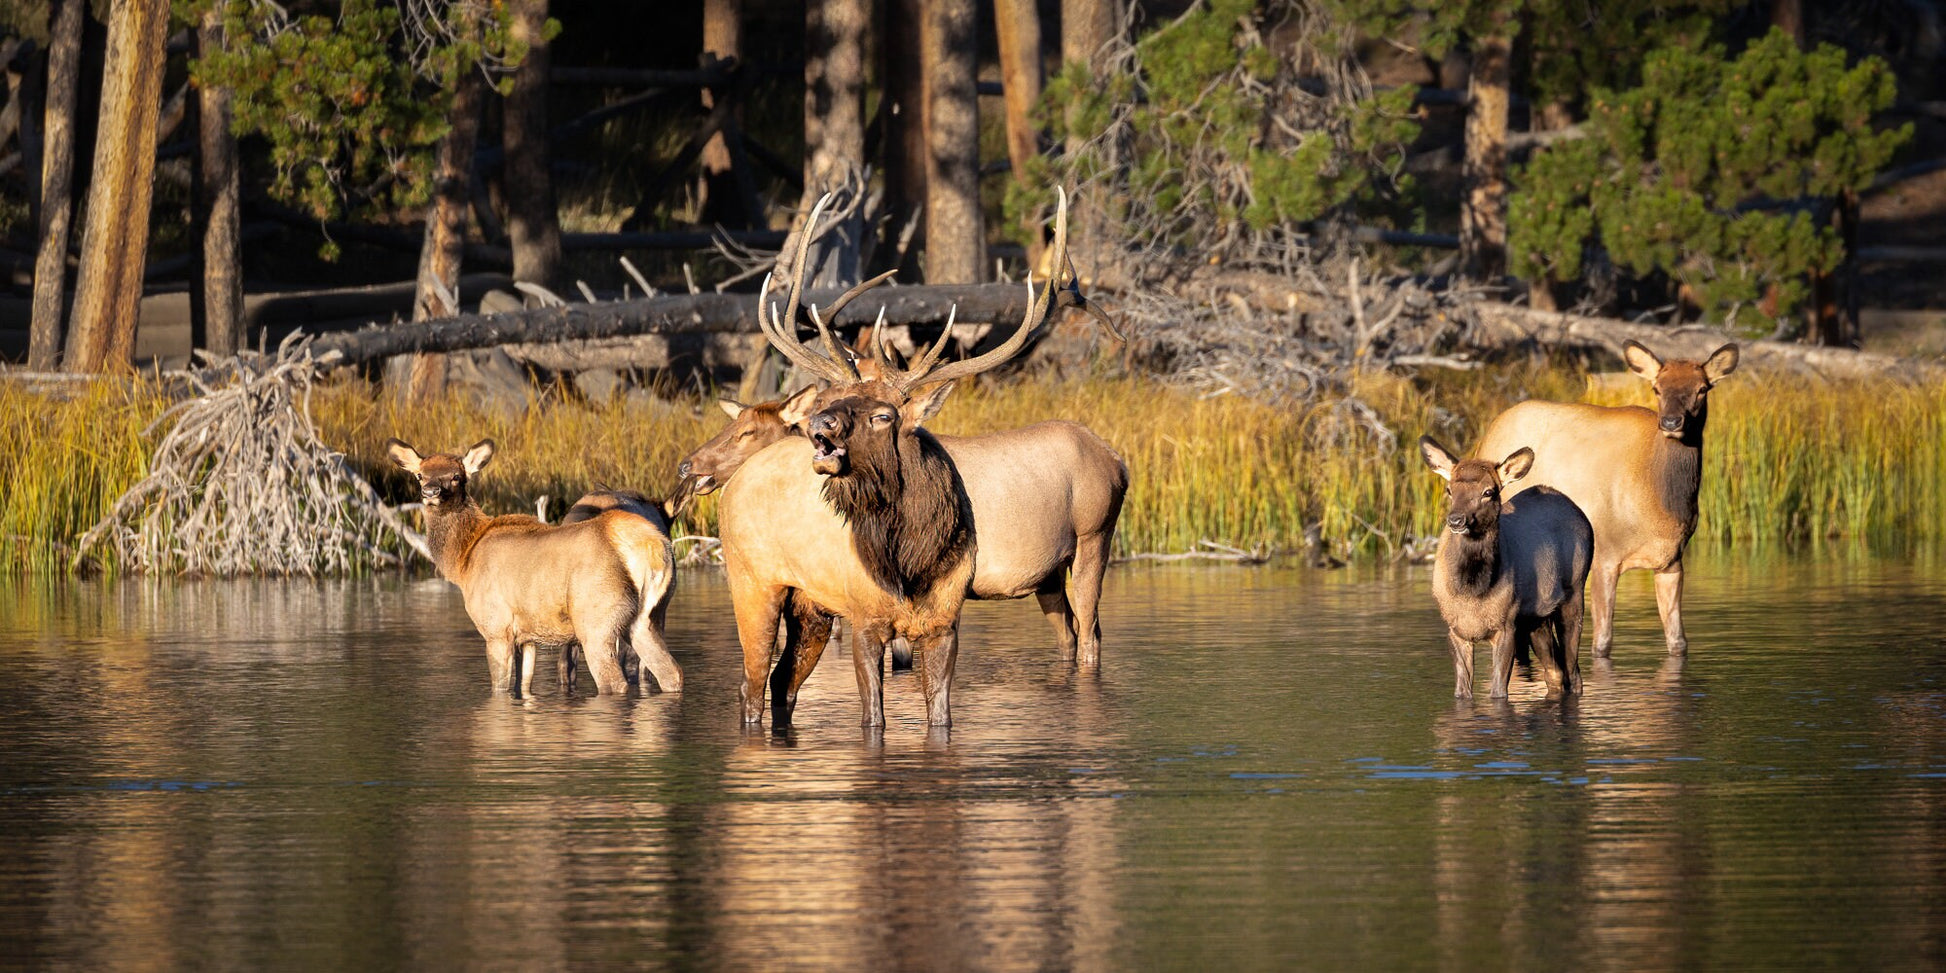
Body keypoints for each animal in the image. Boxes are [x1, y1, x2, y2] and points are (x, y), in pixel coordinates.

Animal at [383, 437, 681, 696]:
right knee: (672, 673)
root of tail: (651, 546)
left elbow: (500, 688)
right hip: (649, 617)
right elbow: (522, 686)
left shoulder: (496, 627)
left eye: (456, 476)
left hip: (597, 620)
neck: (463, 560)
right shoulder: (526, 637)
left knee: (615, 681)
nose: (430, 491)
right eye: (420, 475)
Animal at [1416, 437, 1595, 696]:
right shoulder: (1455, 630)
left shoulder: (1506, 625)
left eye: (1488, 492)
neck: (1472, 592)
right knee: (1555, 672)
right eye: (1450, 490)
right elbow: (1462, 692)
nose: (1456, 520)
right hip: (1536, 619)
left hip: (1574, 592)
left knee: (1573, 673)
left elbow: (1499, 691)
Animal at [1471, 338, 1735, 657]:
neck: (1659, 504)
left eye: (1702, 388)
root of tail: (1486, 435)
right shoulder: (1604, 558)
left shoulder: (1671, 561)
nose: (1671, 422)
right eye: (1657, 388)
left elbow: (1678, 642)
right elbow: (1602, 643)